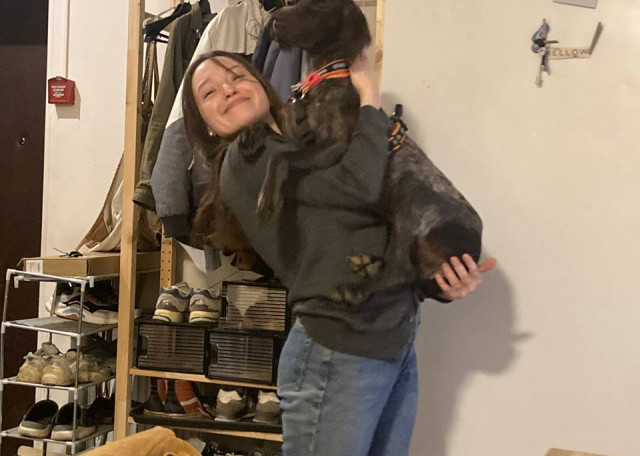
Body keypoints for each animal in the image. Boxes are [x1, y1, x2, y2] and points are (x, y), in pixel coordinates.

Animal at [256, 0, 483, 304]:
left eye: (321, 6)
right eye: (292, 3)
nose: (273, 21)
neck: (325, 76)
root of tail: (473, 250)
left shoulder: (336, 147)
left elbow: (280, 156)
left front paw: (267, 198)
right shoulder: (300, 132)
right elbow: (276, 122)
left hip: (414, 209)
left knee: (401, 271)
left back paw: (356, 288)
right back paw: (369, 263)